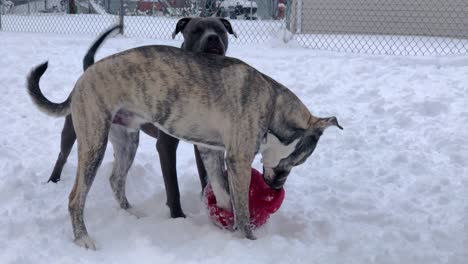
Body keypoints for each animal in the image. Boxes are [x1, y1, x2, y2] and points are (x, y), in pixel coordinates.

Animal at [46, 17, 238, 218]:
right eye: (196, 30)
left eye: (220, 29)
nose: (213, 37)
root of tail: (89, 69)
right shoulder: (166, 145)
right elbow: (172, 185)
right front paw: (177, 215)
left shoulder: (202, 139)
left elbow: (205, 172)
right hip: (76, 129)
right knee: (63, 154)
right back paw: (54, 179)